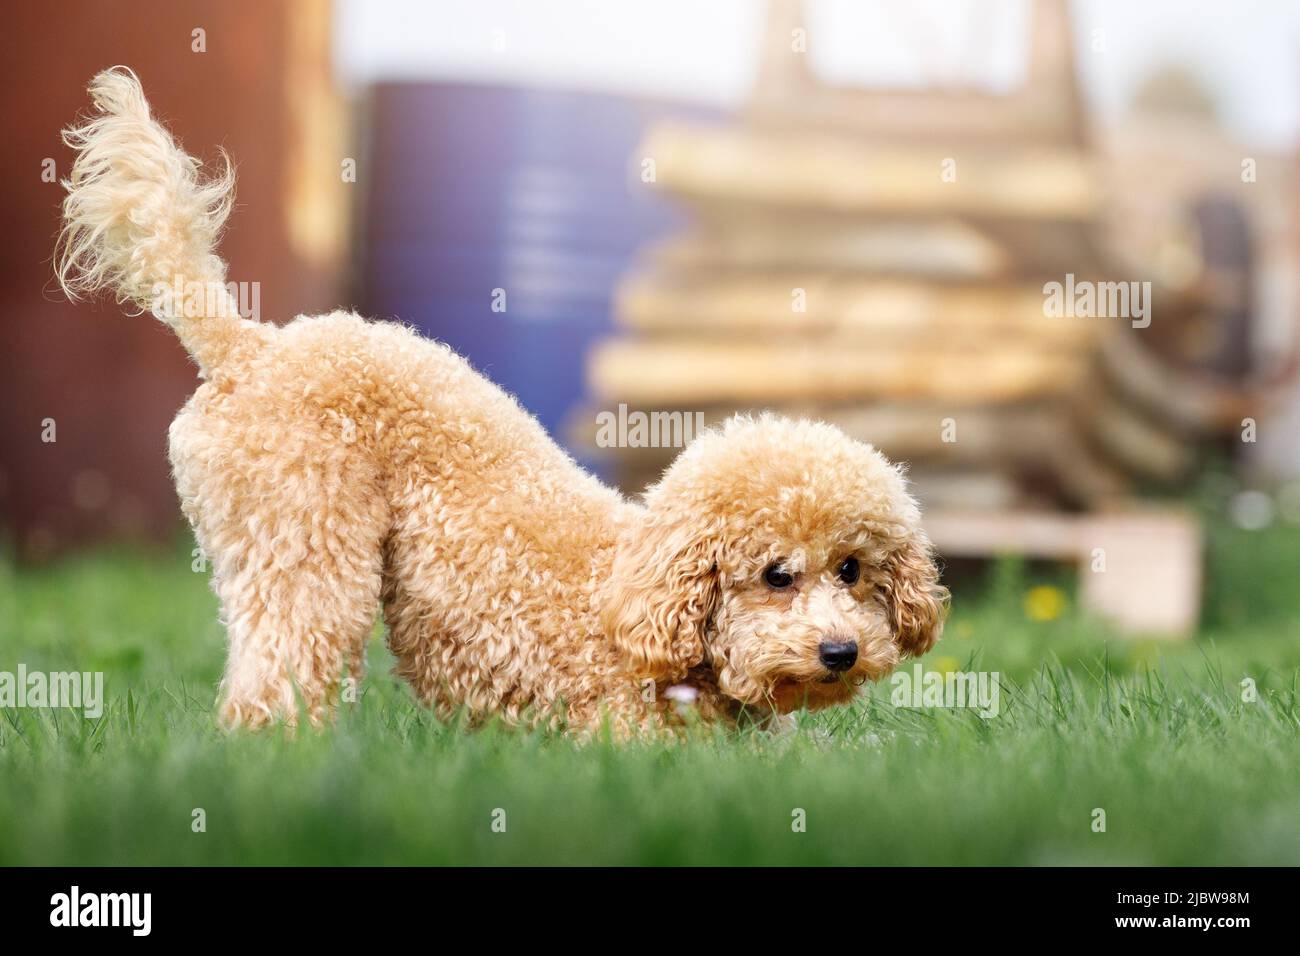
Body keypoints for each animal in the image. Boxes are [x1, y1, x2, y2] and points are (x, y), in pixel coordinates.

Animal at [55, 70, 946, 738]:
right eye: (774, 575)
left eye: (854, 569)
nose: (840, 652)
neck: (642, 604)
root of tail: (252, 345)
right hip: (301, 541)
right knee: (281, 668)